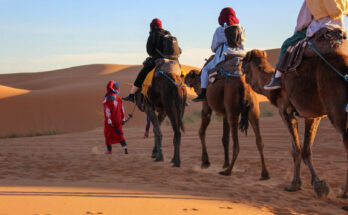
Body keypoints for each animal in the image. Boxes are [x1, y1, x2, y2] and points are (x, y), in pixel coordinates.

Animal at [242, 48, 348, 198]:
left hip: (338, 111)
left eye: (245, 60)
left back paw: (343, 192)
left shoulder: (285, 111)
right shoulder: (313, 115)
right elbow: (305, 149)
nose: (239, 66)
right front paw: (317, 184)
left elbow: (296, 149)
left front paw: (294, 184)